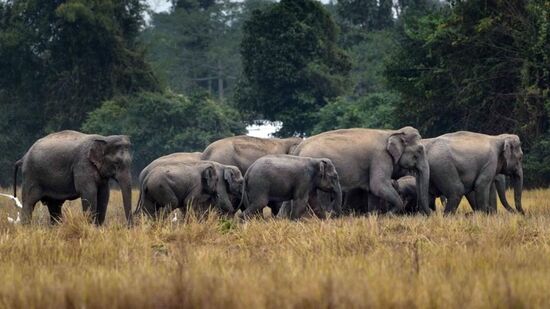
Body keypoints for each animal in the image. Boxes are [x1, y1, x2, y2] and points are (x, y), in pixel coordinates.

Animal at [292, 126, 434, 213]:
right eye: (419, 151)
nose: (430, 213)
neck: (393, 132)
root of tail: (299, 148)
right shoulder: (380, 157)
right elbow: (378, 185)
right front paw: (390, 214)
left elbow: (373, 190)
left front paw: (376, 216)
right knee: (322, 196)